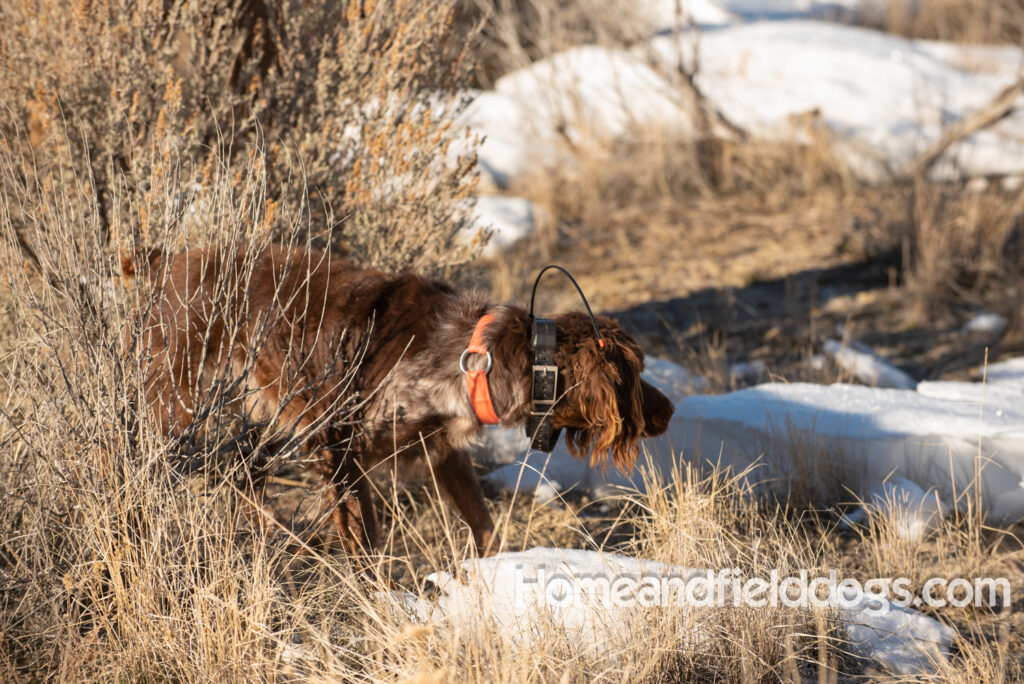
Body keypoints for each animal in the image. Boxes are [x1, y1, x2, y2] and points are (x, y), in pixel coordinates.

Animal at [123, 244, 675, 557]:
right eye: (634, 376)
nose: (670, 411)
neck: (472, 356)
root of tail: (166, 263)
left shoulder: (443, 451)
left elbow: (484, 526)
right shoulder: (337, 447)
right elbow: (366, 546)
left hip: (259, 420)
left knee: (241, 475)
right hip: (179, 405)